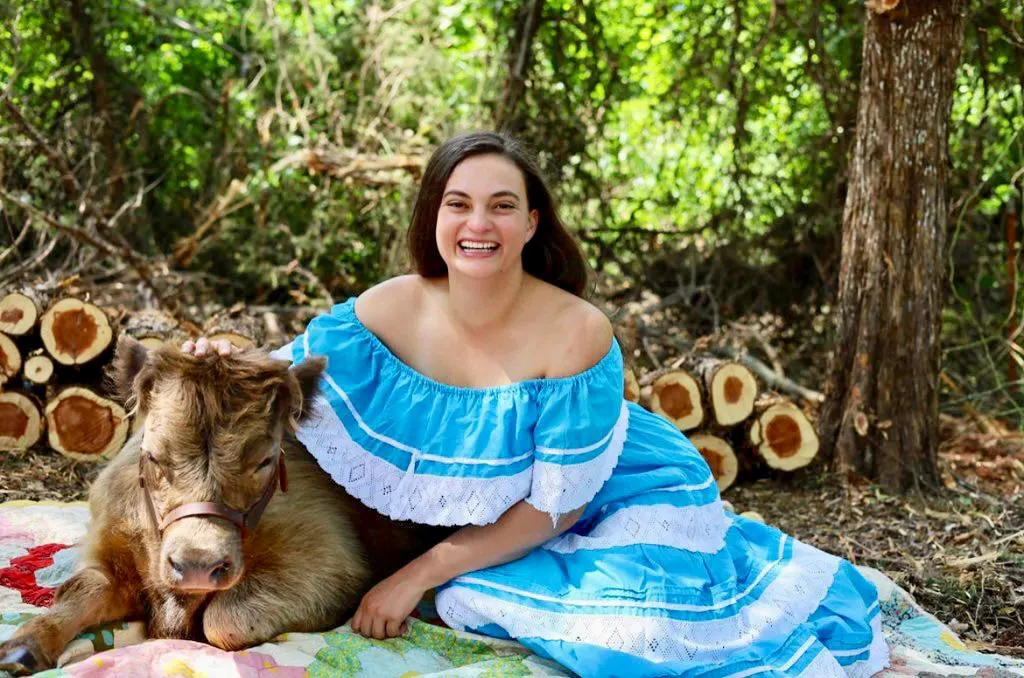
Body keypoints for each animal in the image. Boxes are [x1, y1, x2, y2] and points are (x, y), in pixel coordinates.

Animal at [0, 337, 444, 675]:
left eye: (266, 460)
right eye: (153, 455)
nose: (198, 565)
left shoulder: (334, 565)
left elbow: (223, 621)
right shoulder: (109, 553)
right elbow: (79, 592)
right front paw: (23, 646)